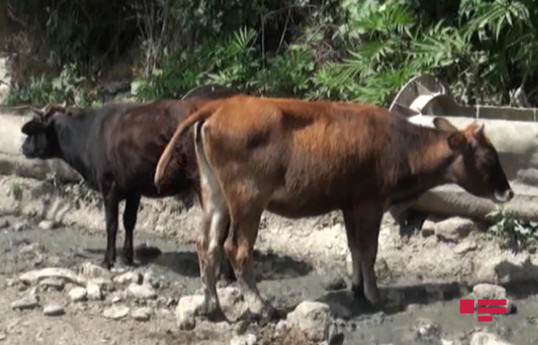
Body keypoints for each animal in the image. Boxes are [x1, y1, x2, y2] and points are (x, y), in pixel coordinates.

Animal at [21, 86, 234, 268]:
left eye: (34, 130)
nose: (22, 147)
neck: (87, 134)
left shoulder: (109, 185)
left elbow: (112, 223)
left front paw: (108, 259)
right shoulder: (133, 188)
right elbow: (129, 221)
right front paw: (127, 257)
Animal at [152, 94, 510, 320]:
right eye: (489, 157)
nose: (507, 191)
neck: (401, 146)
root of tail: (220, 106)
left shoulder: (349, 204)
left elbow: (354, 247)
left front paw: (357, 288)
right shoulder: (370, 202)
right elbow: (369, 250)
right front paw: (374, 294)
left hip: (215, 194)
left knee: (207, 244)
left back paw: (211, 304)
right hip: (248, 198)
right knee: (236, 248)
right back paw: (261, 307)